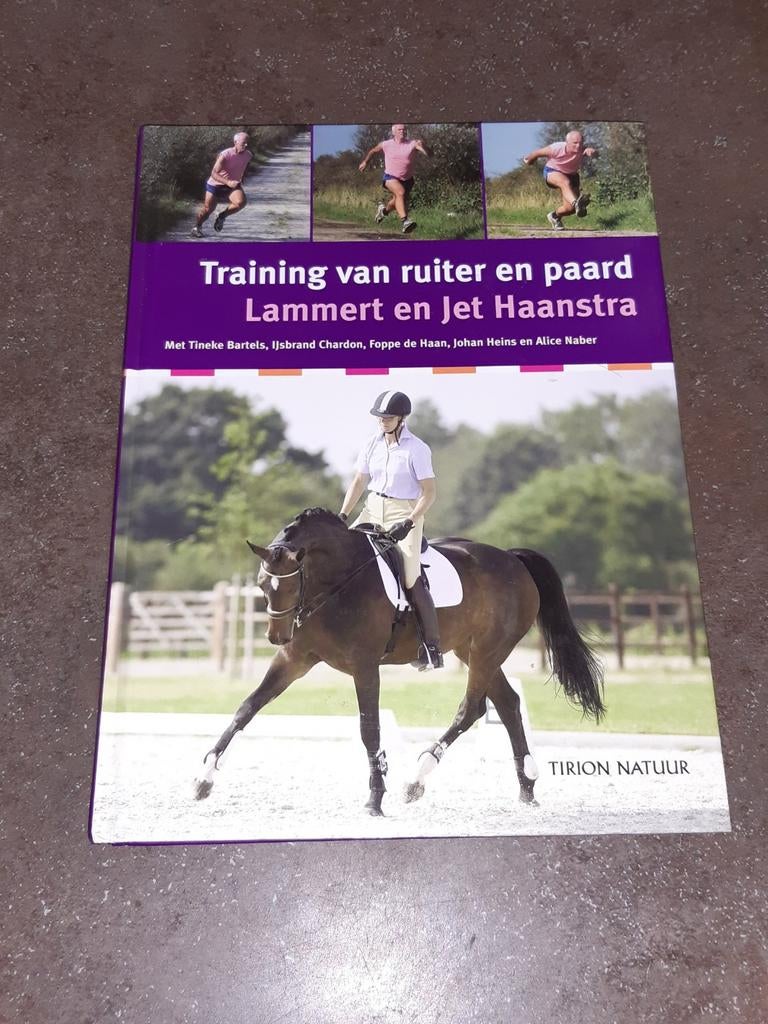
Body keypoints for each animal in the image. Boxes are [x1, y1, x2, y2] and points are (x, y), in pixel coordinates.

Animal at [194, 507, 604, 815]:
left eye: (294, 584)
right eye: (263, 585)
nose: (277, 637)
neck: (338, 580)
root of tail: (512, 559)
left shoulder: (364, 667)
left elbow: (369, 730)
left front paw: (376, 797)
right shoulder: (295, 659)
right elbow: (246, 708)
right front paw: (204, 778)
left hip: (488, 651)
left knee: (471, 708)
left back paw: (416, 780)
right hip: (472, 651)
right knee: (506, 703)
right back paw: (526, 787)